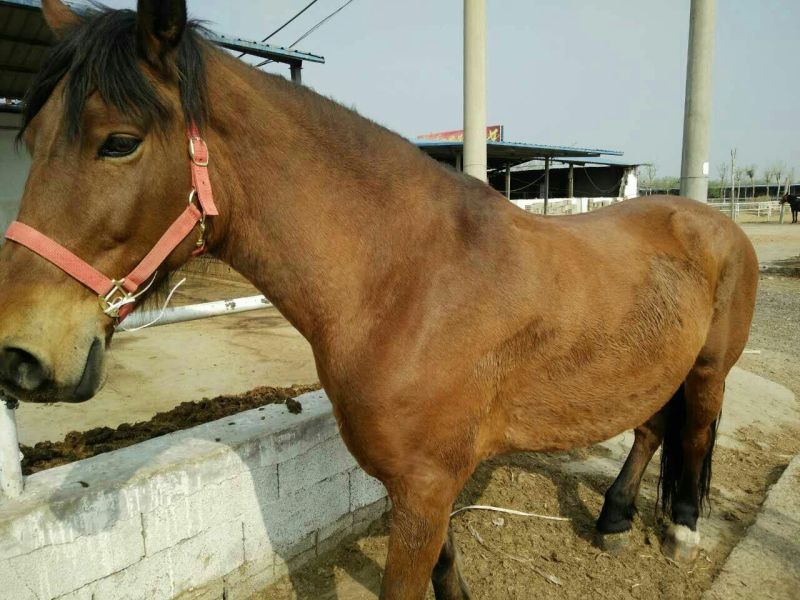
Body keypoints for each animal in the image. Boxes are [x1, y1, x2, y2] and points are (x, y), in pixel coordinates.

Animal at [0, 2, 759, 598]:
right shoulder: (421, 484)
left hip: (707, 369)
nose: (19, 355)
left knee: (694, 429)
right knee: (652, 428)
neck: (408, 283)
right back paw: (616, 518)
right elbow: (446, 567)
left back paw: (681, 529)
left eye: (119, 142)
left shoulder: (425, 484)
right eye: (30, 140)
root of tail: (711, 219)